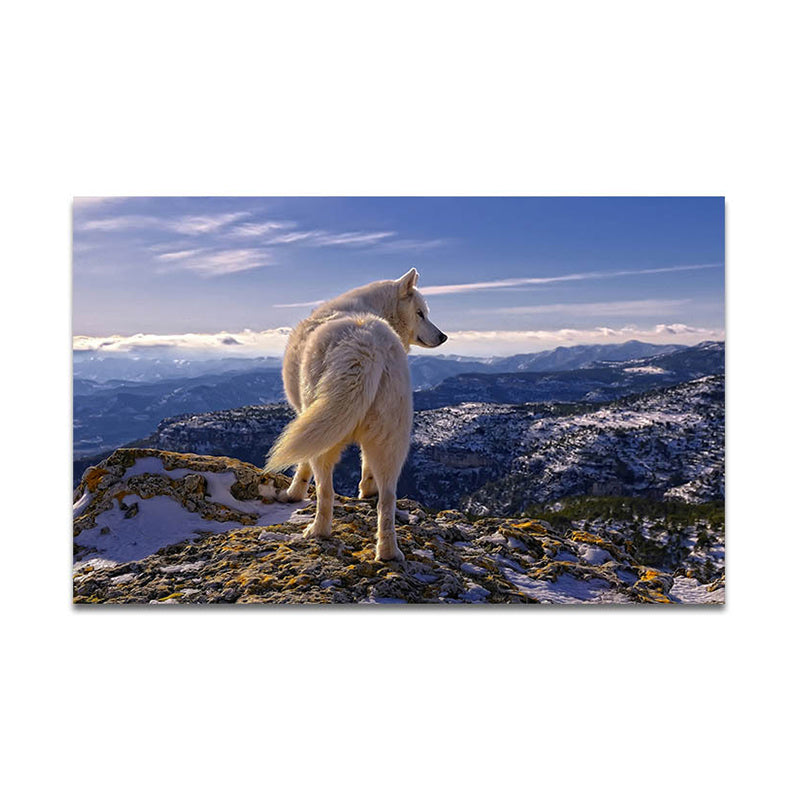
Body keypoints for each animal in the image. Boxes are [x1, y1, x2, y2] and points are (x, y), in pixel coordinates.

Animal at [264, 268, 447, 561]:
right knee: (388, 498)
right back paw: (387, 551)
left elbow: (302, 466)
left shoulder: (306, 416)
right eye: (420, 313)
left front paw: (293, 494)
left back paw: (318, 531)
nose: (443, 336)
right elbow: (365, 466)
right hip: (391, 439)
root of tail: (366, 345)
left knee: (326, 491)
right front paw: (366, 490)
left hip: (326, 435)